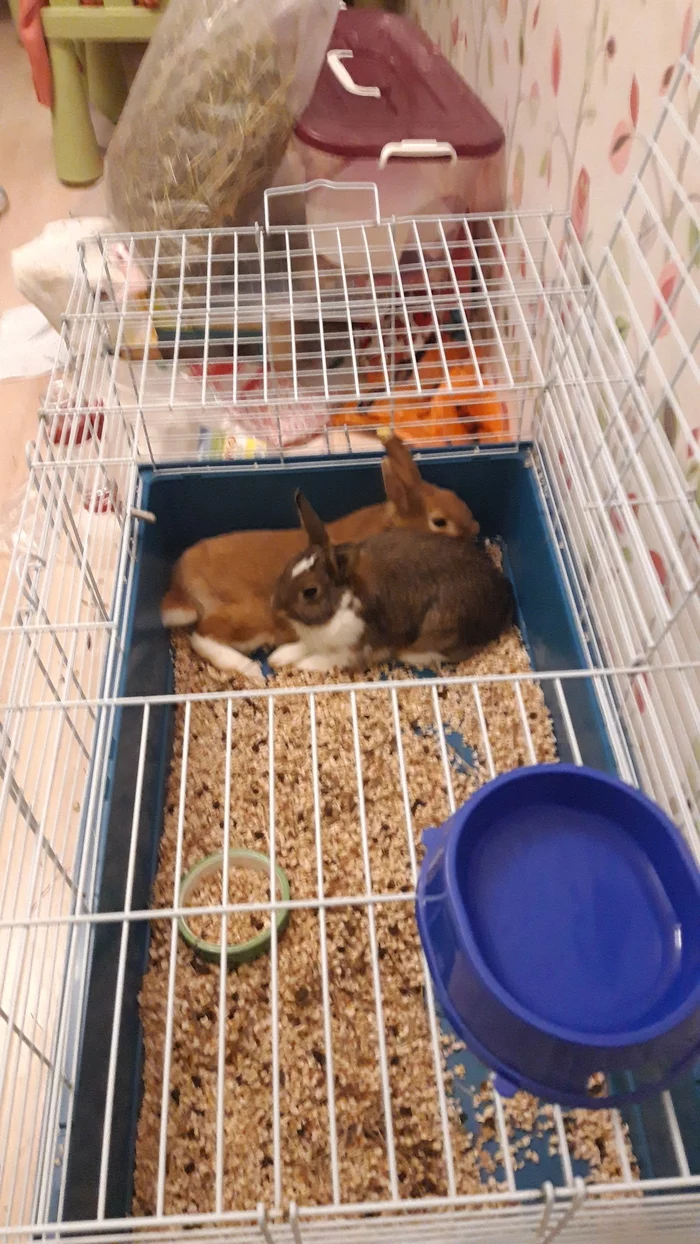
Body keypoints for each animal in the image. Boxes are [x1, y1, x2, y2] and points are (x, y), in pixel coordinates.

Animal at [160, 434, 479, 682]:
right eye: (439, 522)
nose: (475, 529)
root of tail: (180, 580)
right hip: (248, 616)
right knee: (202, 636)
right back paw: (250, 669)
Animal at [269, 493, 514, 675]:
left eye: (310, 592)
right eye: (289, 565)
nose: (276, 607)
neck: (342, 603)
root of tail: (503, 601)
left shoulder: (359, 647)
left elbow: (332, 659)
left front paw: (305, 665)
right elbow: (303, 646)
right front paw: (279, 657)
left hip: (441, 628)